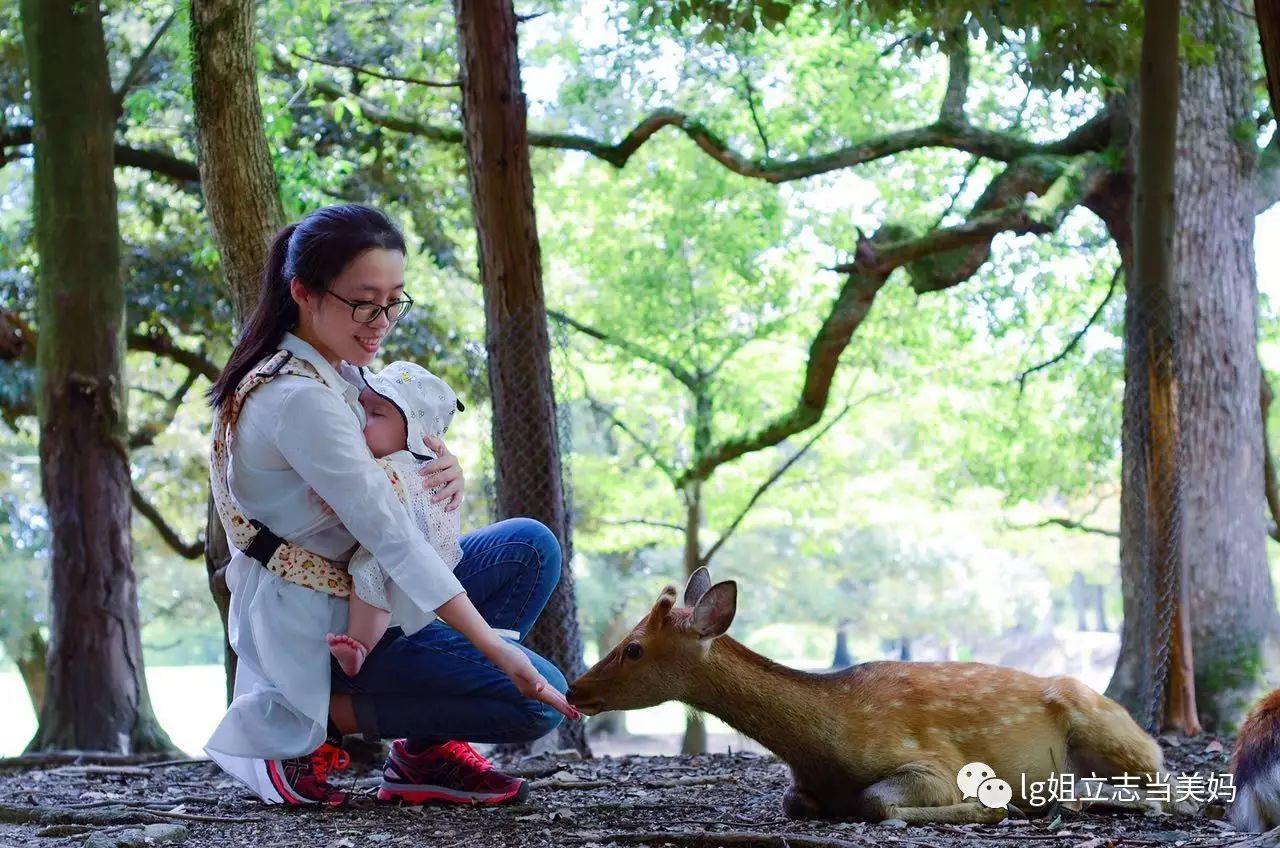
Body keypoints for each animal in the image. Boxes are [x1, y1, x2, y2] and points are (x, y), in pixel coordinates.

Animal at [565, 568, 1172, 824]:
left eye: (634, 649)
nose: (575, 687)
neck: (821, 746)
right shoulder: (802, 785)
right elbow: (793, 801)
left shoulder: (934, 761)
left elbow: (878, 801)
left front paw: (989, 808)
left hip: (1115, 734)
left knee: (1170, 789)